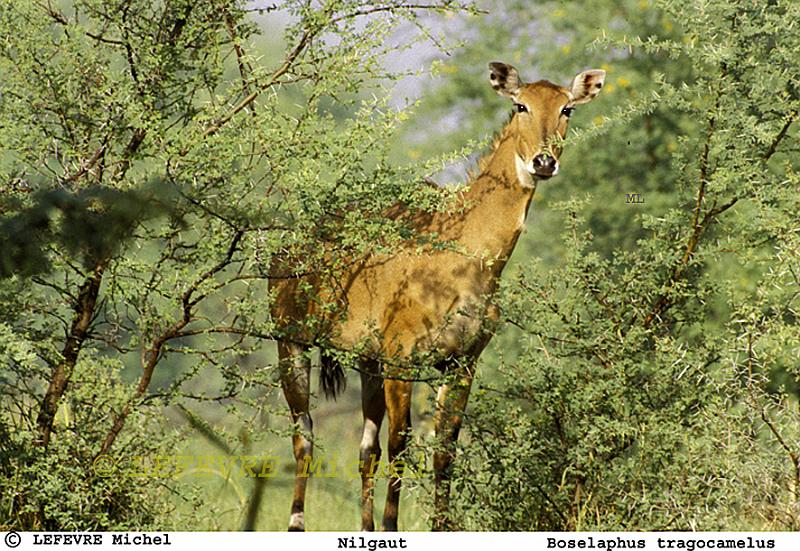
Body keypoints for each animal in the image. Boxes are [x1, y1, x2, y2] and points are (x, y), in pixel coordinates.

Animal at [270, 60, 608, 532]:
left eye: (567, 109)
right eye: (520, 105)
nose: (543, 161)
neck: (468, 255)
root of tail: (289, 245)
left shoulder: (462, 361)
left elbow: (443, 449)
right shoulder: (402, 358)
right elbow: (402, 444)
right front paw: (393, 526)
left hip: (365, 361)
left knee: (366, 448)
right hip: (291, 342)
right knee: (305, 435)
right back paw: (297, 523)